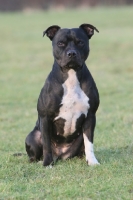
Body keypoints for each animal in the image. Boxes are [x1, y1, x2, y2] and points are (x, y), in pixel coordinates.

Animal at [25, 23, 100, 166]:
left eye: (80, 42)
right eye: (60, 43)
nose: (71, 53)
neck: (71, 75)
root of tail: (60, 155)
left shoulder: (90, 116)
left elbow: (89, 143)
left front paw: (92, 162)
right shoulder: (45, 117)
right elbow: (46, 144)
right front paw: (47, 164)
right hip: (32, 136)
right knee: (34, 154)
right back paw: (40, 161)